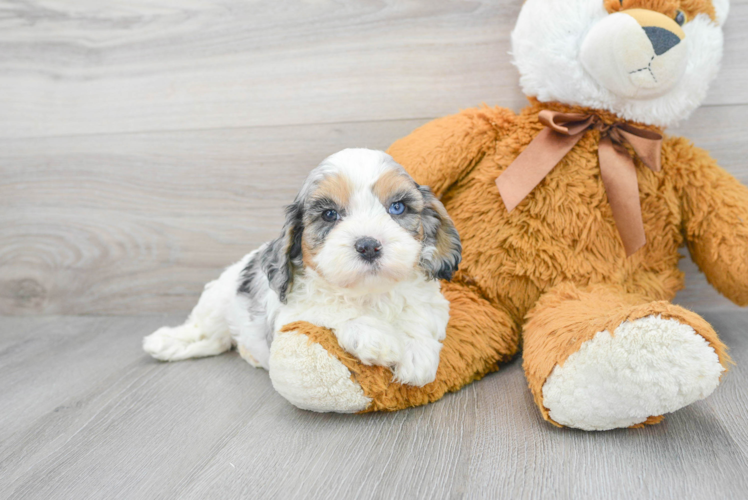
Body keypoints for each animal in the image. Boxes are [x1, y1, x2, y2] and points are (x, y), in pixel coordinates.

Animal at [142, 148, 458, 386]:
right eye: (329, 214)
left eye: (397, 208)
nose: (369, 245)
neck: (369, 294)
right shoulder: (293, 312)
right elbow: (331, 312)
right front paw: (376, 337)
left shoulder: (431, 302)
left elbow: (421, 315)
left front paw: (417, 352)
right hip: (217, 302)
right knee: (206, 333)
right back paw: (165, 342)